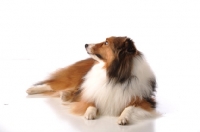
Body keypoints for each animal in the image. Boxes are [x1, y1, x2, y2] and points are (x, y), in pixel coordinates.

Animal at [26, 36, 156, 125]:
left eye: (106, 42)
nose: (85, 44)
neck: (113, 77)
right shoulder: (91, 90)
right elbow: (91, 101)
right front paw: (89, 112)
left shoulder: (145, 100)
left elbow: (129, 107)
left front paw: (123, 117)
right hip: (74, 79)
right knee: (52, 85)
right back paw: (31, 90)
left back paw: (65, 95)